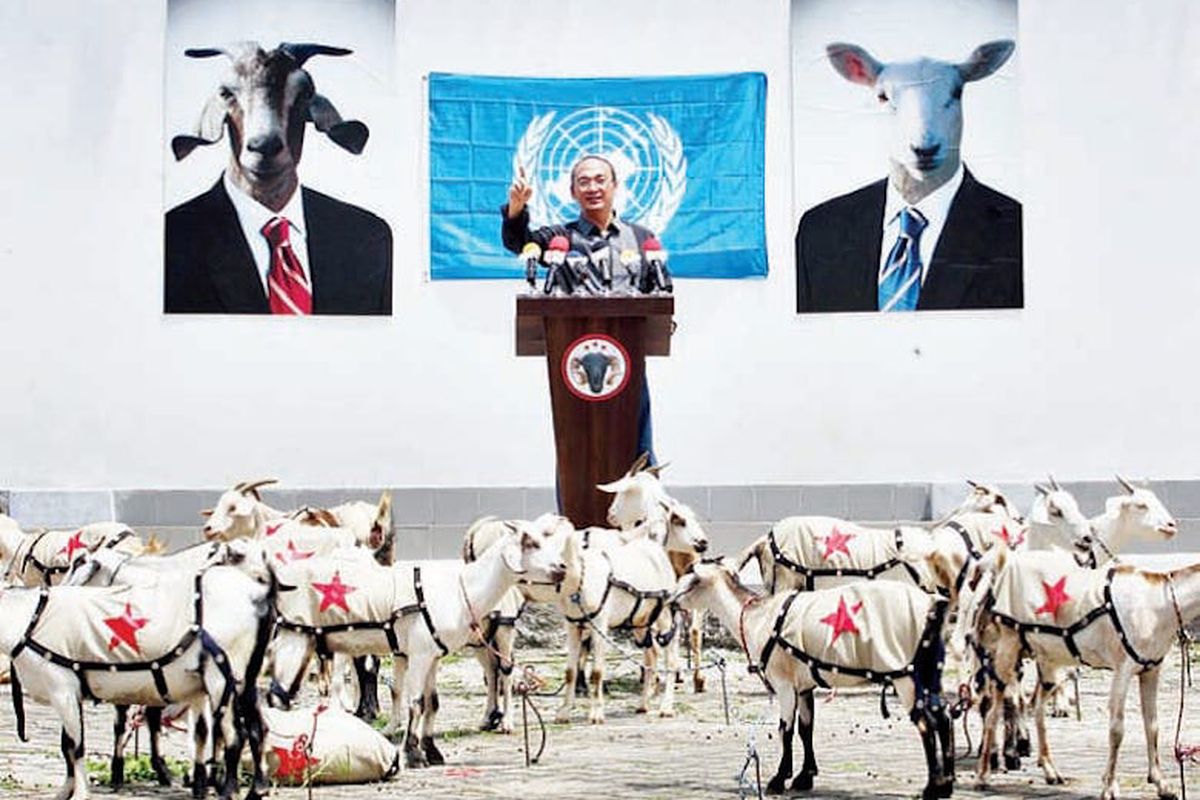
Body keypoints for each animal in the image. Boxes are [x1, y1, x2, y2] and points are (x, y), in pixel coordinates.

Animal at [672, 563, 950, 800]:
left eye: (694, 579)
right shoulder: (804, 686)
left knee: (926, 724)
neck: (757, 618)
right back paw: (945, 784)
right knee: (943, 717)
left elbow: (785, 730)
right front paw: (804, 777)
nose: (671, 602)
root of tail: (931, 606)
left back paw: (931, 788)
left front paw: (778, 780)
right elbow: (806, 728)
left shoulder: (784, 683)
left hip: (907, 676)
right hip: (929, 674)